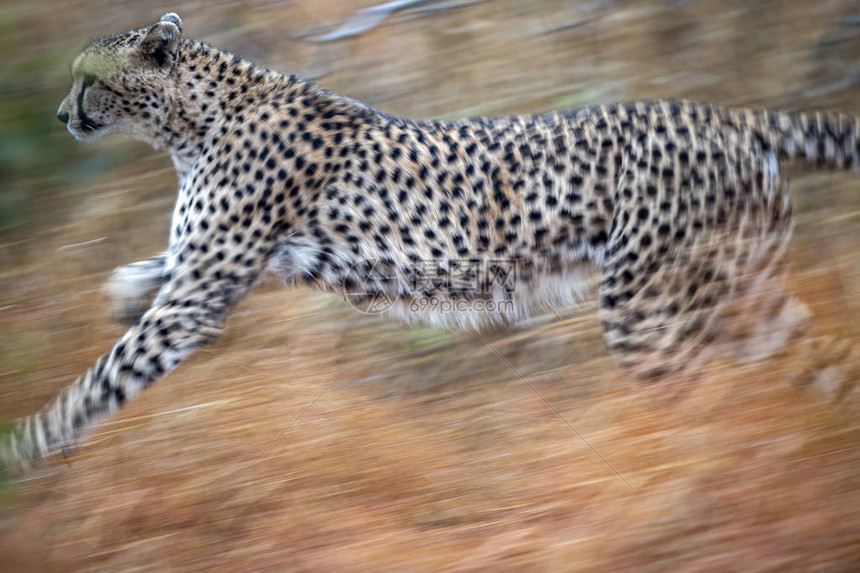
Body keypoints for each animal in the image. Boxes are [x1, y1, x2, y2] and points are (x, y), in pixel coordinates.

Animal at [0, 13, 856, 472]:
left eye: (89, 78)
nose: (61, 115)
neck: (192, 118)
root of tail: (728, 115)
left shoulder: (202, 289)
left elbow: (101, 378)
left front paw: (26, 450)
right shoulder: (223, 269)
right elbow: (144, 277)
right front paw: (117, 296)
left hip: (649, 308)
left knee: (691, 402)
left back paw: (669, 472)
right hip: (746, 296)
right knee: (826, 366)